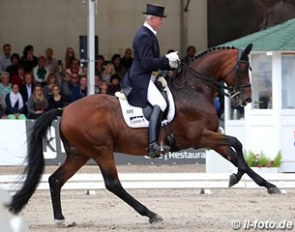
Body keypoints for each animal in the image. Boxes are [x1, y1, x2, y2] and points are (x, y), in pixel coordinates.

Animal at [6, 43, 280, 225]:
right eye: (243, 69)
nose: (245, 100)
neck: (194, 91)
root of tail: (65, 109)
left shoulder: (210, 136)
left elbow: (234, 153)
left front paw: (267, 185)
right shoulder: (200, 137)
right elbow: (238, 143)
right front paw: (238, 177)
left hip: (79, 154)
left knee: (55, 180)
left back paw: (61, 219)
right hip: (101, 150)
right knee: (113, 184)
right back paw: (151, 214)